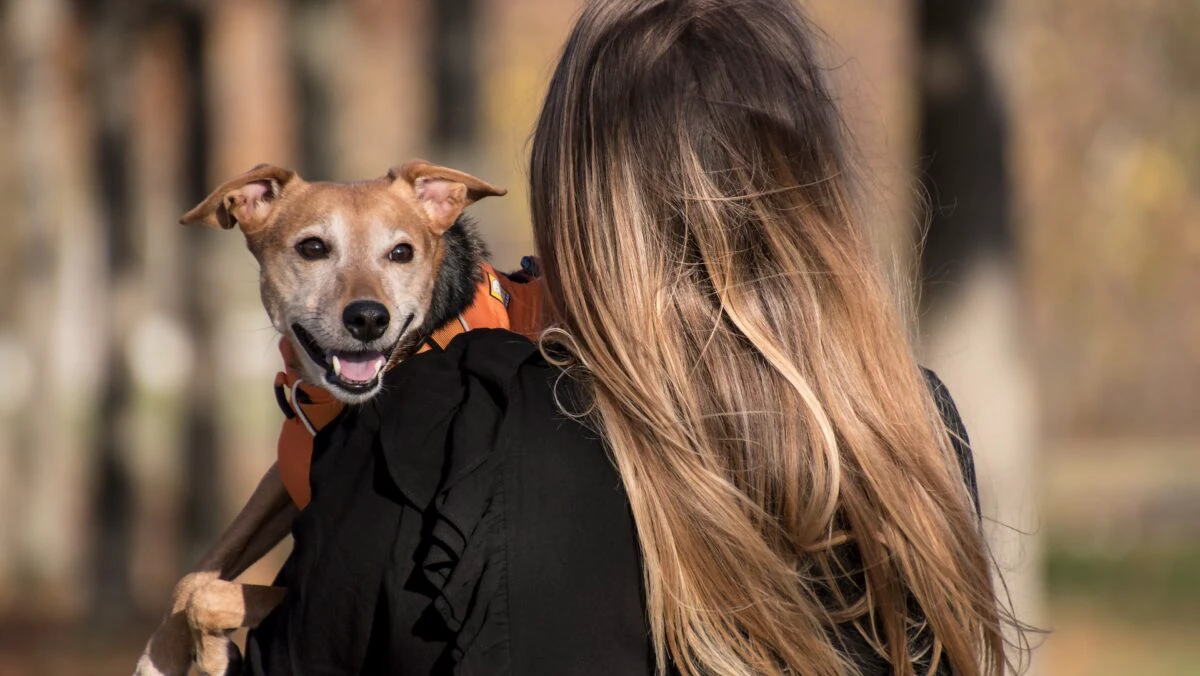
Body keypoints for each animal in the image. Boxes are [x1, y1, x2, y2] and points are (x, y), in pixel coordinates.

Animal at [133, 159, 542, 676]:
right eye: (312, 248)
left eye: (402, 252)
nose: (368, 318)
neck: (329, 403)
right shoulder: (282, 479)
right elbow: (197, 572)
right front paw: (161, 653)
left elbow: (209, 596)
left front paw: (211, 655)